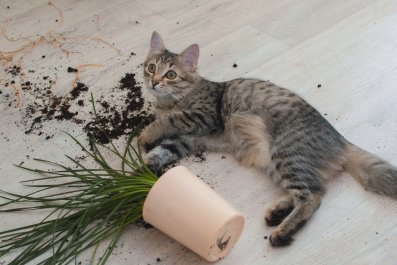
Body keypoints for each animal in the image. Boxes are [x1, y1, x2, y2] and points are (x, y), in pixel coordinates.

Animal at [138, 31, 396, 245]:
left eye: (170, 74)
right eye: (151, 68)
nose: (154, 82)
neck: (169, 101)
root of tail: (342, 140)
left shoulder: (203, 116)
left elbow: (168, 121)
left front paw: (146, 134)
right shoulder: (188, 139)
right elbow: (164, 148)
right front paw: (142, 172)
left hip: (285, 152)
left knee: (312, 196)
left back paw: (283, 231)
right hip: (276, 162)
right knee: (313, 188)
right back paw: (278, 213)